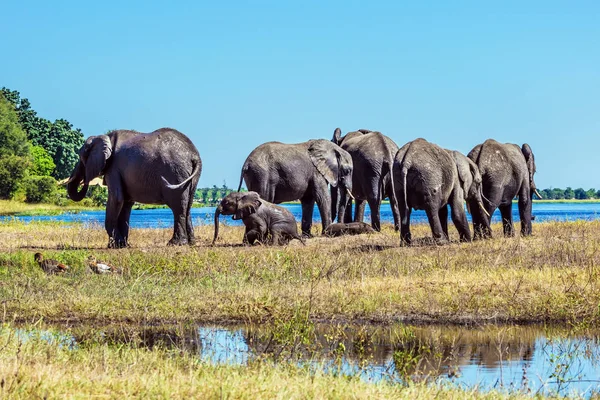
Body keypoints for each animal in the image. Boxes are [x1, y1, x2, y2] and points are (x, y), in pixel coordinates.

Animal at [67, 128, 200, 247]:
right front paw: (122, 245)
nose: (84, 180)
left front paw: (115, 245)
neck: (105, 137)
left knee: (178, 206)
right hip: (189, 176)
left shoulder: (114, 168)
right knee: (188, 205)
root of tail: (194, 156)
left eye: (81, 156)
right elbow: (126, 203)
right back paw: (191, 243)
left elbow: (117, 199)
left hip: (175, 172)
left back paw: (175, 243)